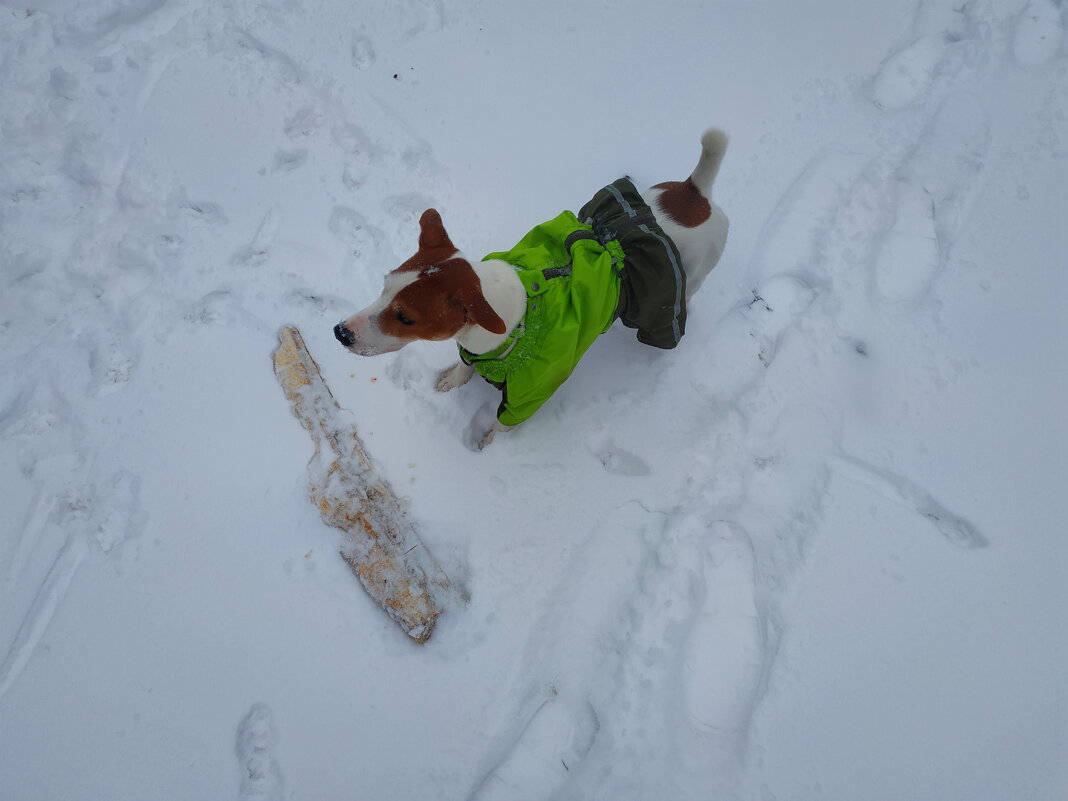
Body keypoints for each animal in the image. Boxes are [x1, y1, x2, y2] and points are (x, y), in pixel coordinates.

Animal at [337, 128, 730, 448]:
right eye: (384, 284)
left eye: (406, 318)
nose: (340, 332)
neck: (519, 321)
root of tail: (696, 194)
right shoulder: (471, 353)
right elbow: (463, 369)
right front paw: (453, 380)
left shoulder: (530, 396)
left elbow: (501, 426)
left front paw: (486, 446)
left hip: (689, 279)